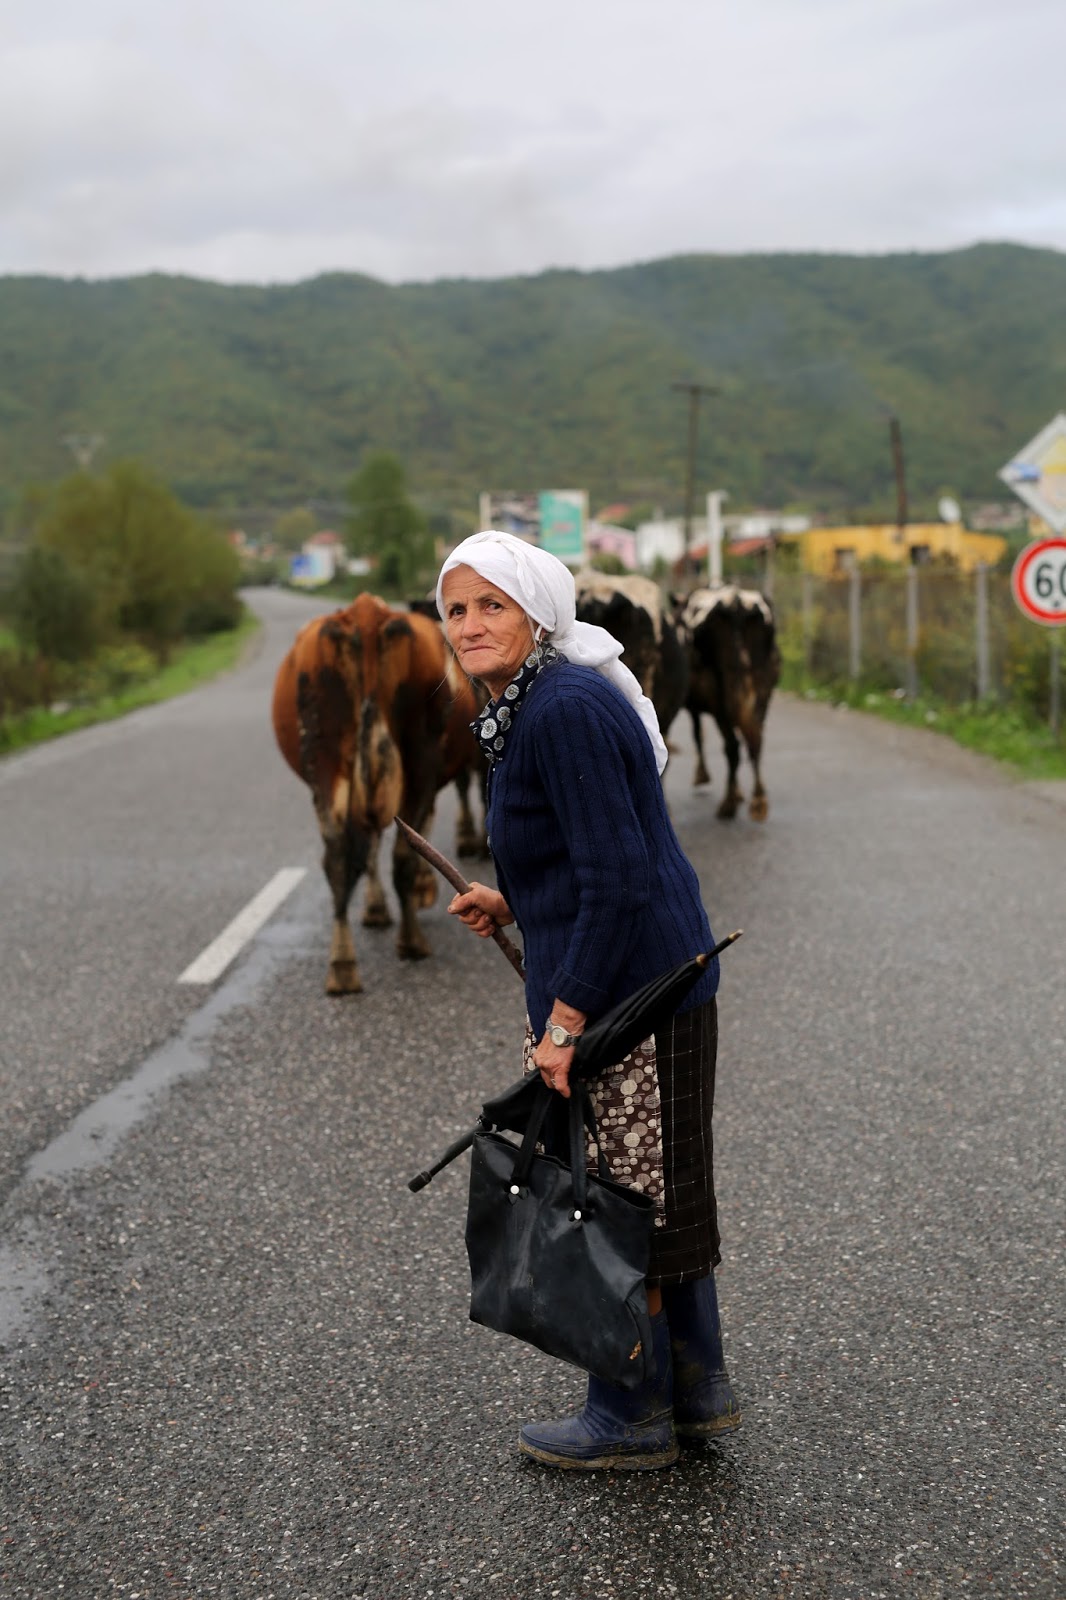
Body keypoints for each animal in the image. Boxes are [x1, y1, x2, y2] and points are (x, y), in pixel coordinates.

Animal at [270, 592, 480, 985]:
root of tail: (366, 614)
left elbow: (369, 848)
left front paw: (375, 908)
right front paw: (420, 891)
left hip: (324, 761)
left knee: (339, 855)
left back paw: (342, 965)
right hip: (419, 762)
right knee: (402, 854)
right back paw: (411, 942)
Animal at [675, 582, 777, 819]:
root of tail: (736, 602)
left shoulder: (694, 705)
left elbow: (697, 735)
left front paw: (702, 775)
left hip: (720, 695)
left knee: (733, 745)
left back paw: (729, 803)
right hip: (761, 687)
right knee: (755, 739)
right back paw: (758, 798)